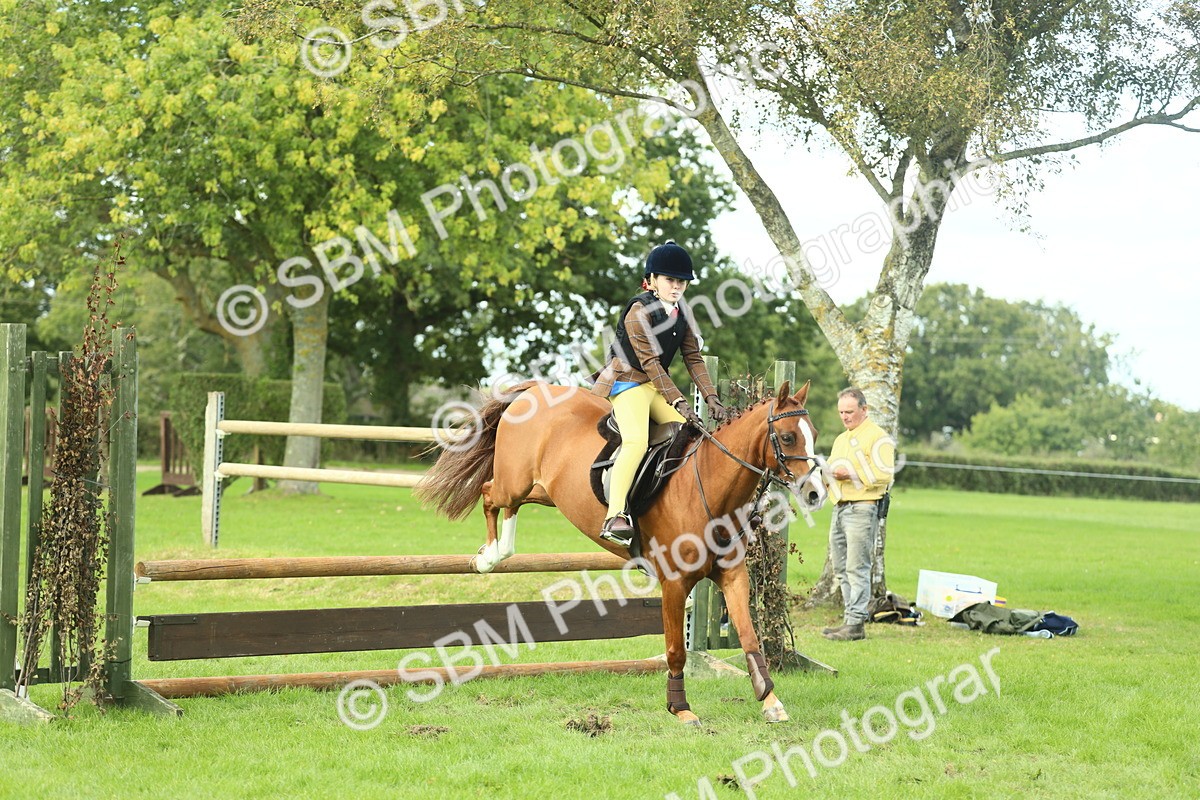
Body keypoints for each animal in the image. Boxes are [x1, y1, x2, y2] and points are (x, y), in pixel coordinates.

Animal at [415, 379, 824, 725]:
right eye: (787, 437)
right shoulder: (674, 583)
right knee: (490, 494)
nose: (815, 494)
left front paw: (771, 702)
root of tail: (535, 391)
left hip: (543, 491)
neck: (708, 484)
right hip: (514, 480)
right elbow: (676, 650)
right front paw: (681, 709)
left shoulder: (732, 576)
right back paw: (489, 556)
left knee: (509, 502)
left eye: (814, 435)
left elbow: (750, 639)